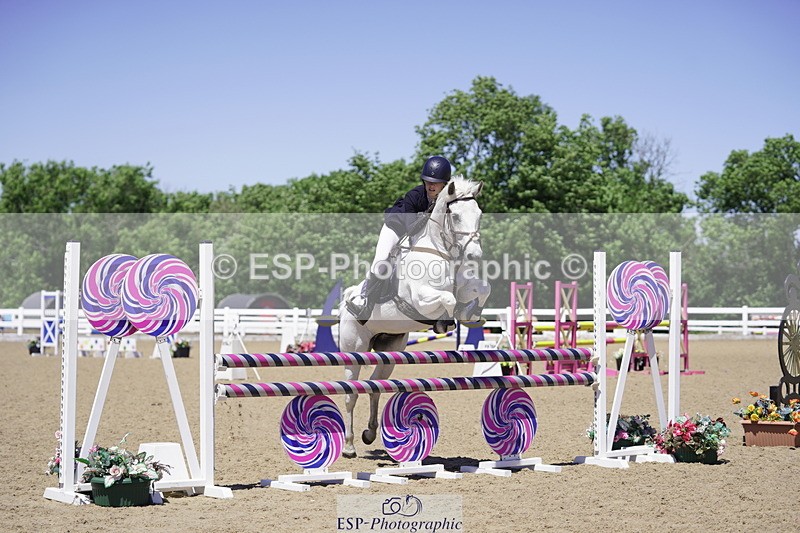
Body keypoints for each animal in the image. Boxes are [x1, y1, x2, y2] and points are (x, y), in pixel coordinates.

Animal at [338, 175, 491, 458]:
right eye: (455, 216)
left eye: (479, 214)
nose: (474, 256)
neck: (440, 251)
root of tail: (346, 301)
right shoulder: (420, 298)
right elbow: (448, 300)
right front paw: (444, 322)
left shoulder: (465, 286)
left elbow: (482, 288)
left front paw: (471, 314)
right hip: (354, 350)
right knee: (351, 393)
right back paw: (350, 445)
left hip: (390, 350)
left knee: (375, 387)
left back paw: (370, 433)